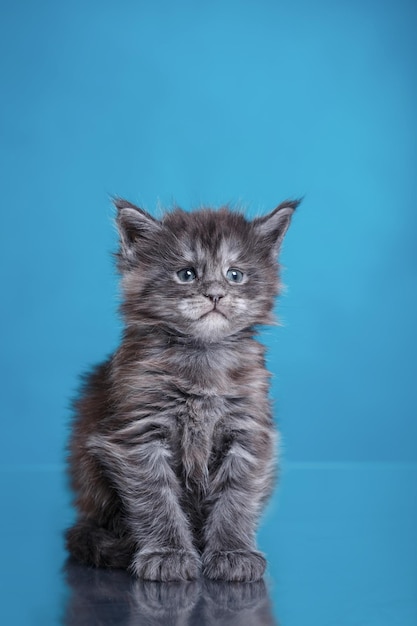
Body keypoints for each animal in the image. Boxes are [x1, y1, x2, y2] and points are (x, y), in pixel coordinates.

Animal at [66, 199, 298, 580]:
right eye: (186, 274)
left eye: (235, 275)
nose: (215, 294)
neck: (203, 358)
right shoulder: (138, 435)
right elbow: (156, 500)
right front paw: (168, 552)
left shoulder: (248, 432)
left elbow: (236, 497)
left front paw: (233, 551)